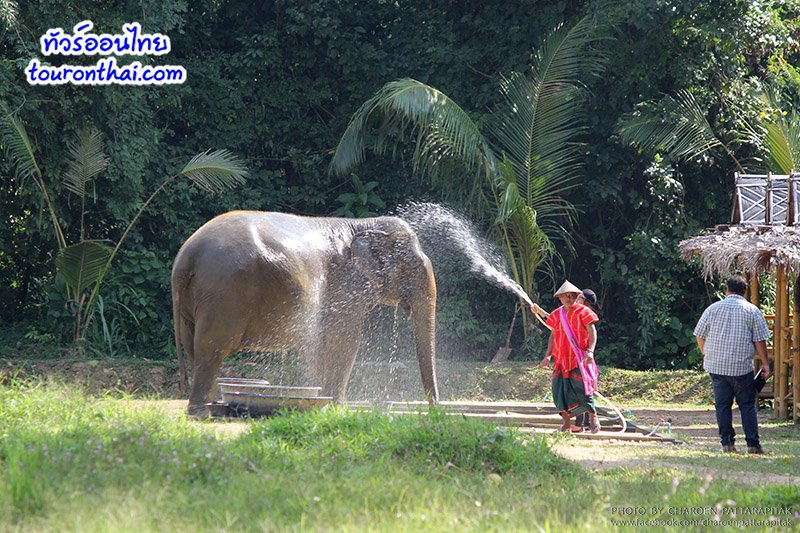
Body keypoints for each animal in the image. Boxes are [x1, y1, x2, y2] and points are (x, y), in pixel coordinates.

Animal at [171, 209, 440, 416]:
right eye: (413, 265)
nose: (433, 409)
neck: (364, 224)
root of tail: (187, 255)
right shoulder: (345, 289)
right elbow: (345, 341)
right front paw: (337, 408)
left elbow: (317, 345)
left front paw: (326, 401)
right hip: (225, 294)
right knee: (212, 349)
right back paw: (203, 412)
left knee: (195, 348)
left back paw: (210, 406)